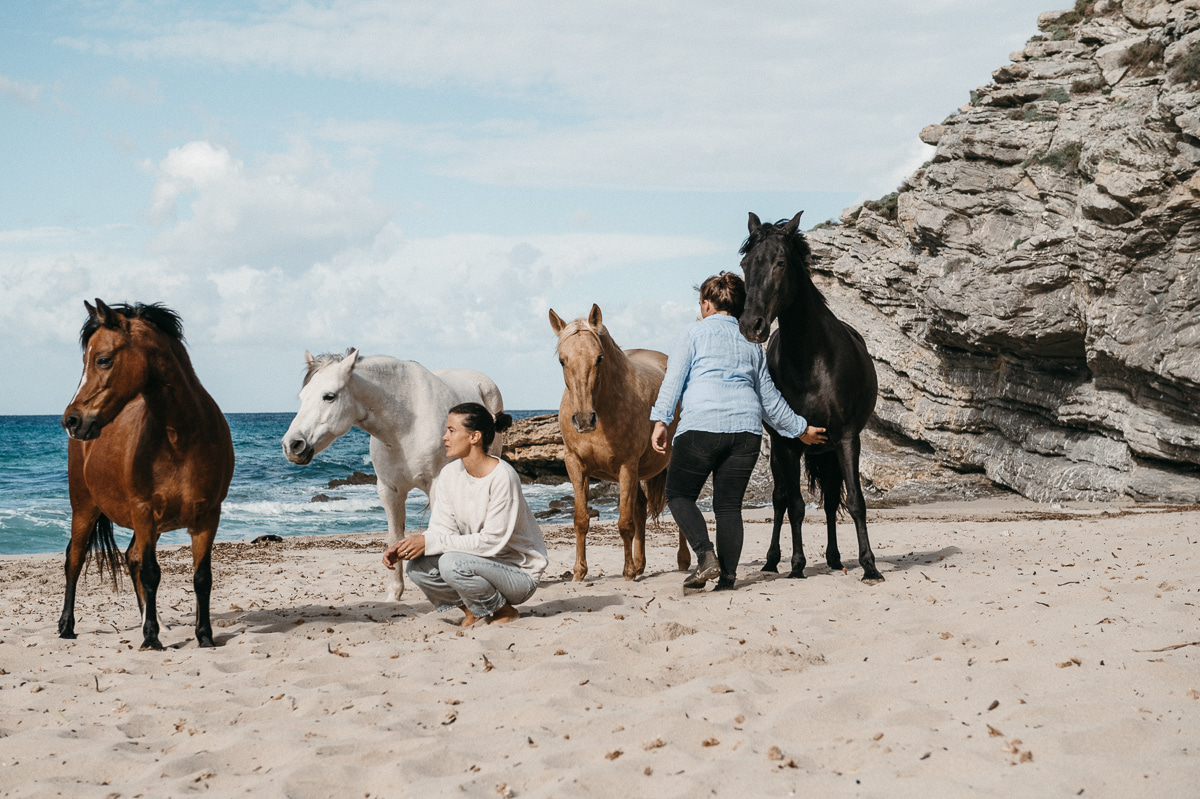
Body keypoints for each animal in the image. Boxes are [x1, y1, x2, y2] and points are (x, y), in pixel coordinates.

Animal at [59, 300, 235, 650]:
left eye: (103, 359)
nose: (72, 421)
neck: (180, 437)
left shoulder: (208, 516)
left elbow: (202, 578)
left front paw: (204, 636)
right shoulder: (143, 512)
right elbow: (151, 573)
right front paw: (151, 640)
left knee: (131, 557)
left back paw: (154, 623)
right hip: (84, 508)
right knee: (75, 559)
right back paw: (67, 627)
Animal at [281, 349, 504, 601]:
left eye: (329, 396)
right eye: (303, 397)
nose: (293, 445)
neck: (405, 426)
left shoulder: (435, 485)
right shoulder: (389, 491)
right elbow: (395, 537)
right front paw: (394, 594)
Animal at [548, 304, 689, 581]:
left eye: (599, 358)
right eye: (562, 360)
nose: (584, 420)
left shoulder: (626, 466)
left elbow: (624, 523)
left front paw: (628, 571)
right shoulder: (575, 465)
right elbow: (581, 520)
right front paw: (579, 571)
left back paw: (682, 560)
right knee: (641, 509)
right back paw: (641, 563)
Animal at [738, 212, 884, 583]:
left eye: (780, 262)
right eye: (745, 264)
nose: (751, 325)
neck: (812, 361)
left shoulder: (846, 438)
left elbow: (856, 502)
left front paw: (870, 566)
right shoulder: (788, 444)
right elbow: (794, 505)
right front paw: (796, 565)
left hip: (829, 451)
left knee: (831, 501)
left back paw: (834, 558)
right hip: (782, 452)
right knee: (779, 500)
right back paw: (772, 561)